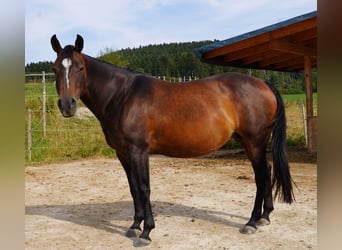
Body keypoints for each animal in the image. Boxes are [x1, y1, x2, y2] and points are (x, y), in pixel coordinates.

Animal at [50, 33, 294, 246]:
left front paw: (146, 232)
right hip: (252, 143)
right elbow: (133, 188)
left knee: (261, 176)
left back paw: (251, 222)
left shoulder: (139, 151)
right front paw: (135, 225)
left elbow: (144, 188)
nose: (67, 105)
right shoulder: (123, 154)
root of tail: (264, 84)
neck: (123, 96)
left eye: (80, 68)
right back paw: (264, 217)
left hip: (254, 141)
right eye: (55, 69)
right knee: (266, 172)